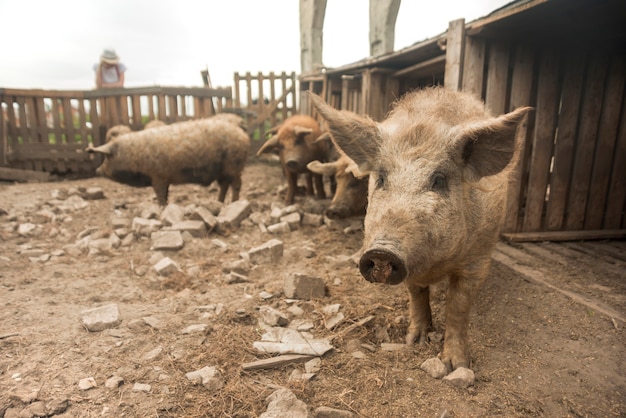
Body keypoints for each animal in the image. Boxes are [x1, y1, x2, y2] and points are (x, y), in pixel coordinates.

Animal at [86, 117, 251, 206]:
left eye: (107, 157)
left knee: (236, 185)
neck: (134, 155)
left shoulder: (158, 176)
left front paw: (161, 209)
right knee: (224, 185)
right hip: (222, 170)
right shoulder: (162, 178)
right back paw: (219, 202)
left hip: (233, 166)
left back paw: (234, 203)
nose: (97, 170)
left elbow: (160, 195)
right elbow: (165, 194)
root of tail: (243, 136)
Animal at [310, 86, 528, 370]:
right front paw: (414, 341)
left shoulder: (477, 259)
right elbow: (416, 295)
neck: (434, 265)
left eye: (439, 180)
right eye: (381, 178)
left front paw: (456, 365)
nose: (382, 251)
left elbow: (458, 307)